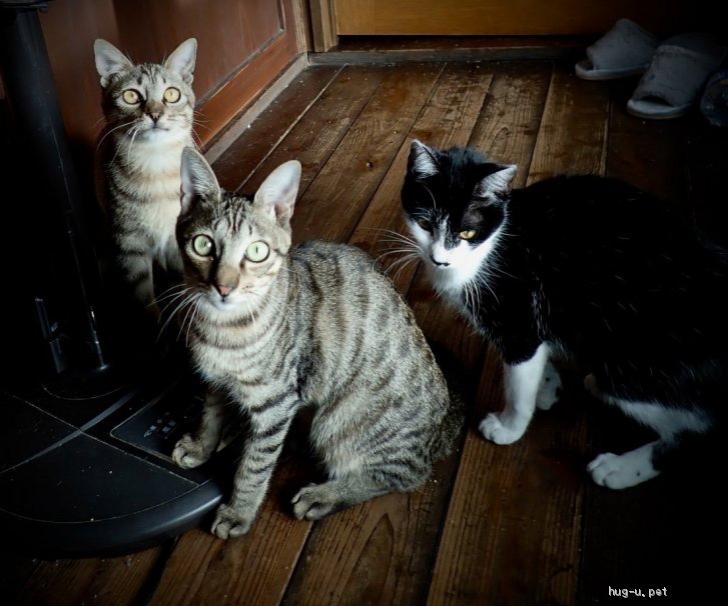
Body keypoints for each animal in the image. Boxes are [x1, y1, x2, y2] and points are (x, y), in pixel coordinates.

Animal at [94, 38, 197, 320]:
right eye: (131, 96)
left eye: (172, 94)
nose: (154, 114)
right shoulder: (128, 243)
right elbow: (143, 299)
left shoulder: (176, 238)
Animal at [171, 147, 462, 538]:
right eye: (203, 244)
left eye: (258, 252)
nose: (224, 287)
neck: (223, 328)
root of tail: (438, 431)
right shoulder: (216, 381)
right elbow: (210, 415)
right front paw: (203, 444)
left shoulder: (276, 402)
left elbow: (254, 467)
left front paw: (239, 512)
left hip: (338, 422)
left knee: (405, 473)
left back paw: (326, 494)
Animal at [401, 139, 725, 490]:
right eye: (425, 224)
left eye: (467, 234)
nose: (439, 259)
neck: (493, 245)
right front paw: (548, 384)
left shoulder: (517, 319)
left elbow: (519, 384)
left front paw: (509, 426)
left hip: (632, 368)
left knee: (698, 435)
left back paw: (620, 469)